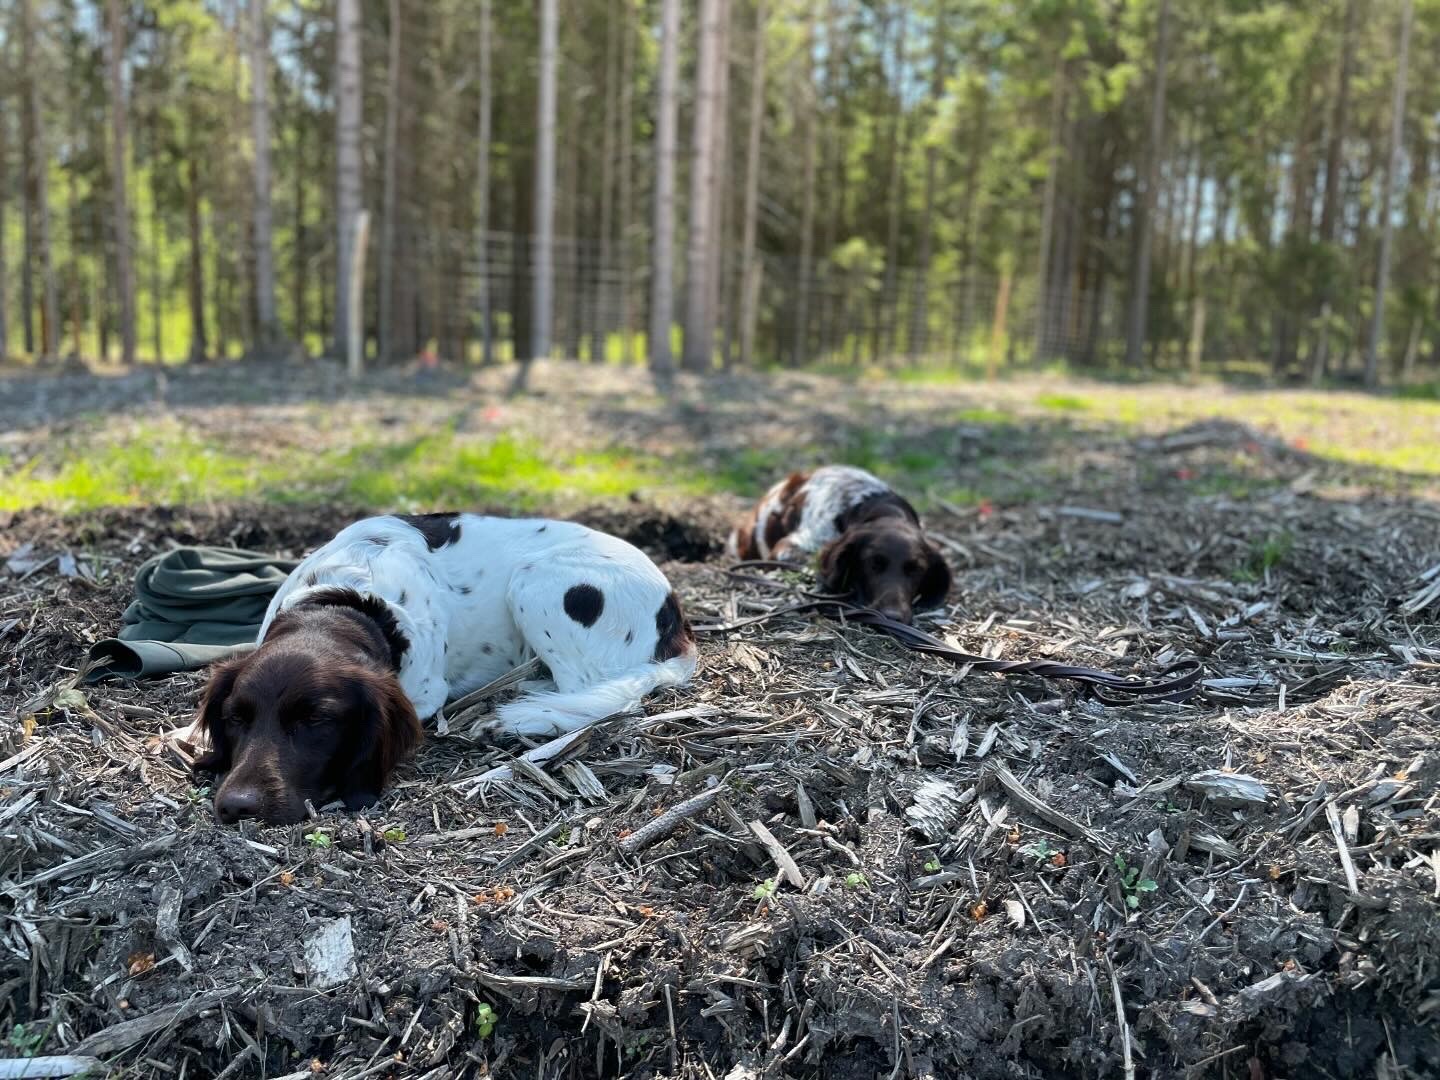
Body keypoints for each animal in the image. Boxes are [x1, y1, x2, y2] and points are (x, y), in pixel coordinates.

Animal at [192, 515, 696, 829]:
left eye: (316, 721)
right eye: (236, 719)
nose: (238, 807)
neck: (345, 600)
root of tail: (675, 617)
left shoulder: (423, 692)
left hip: (538, 581)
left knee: (593, 692)